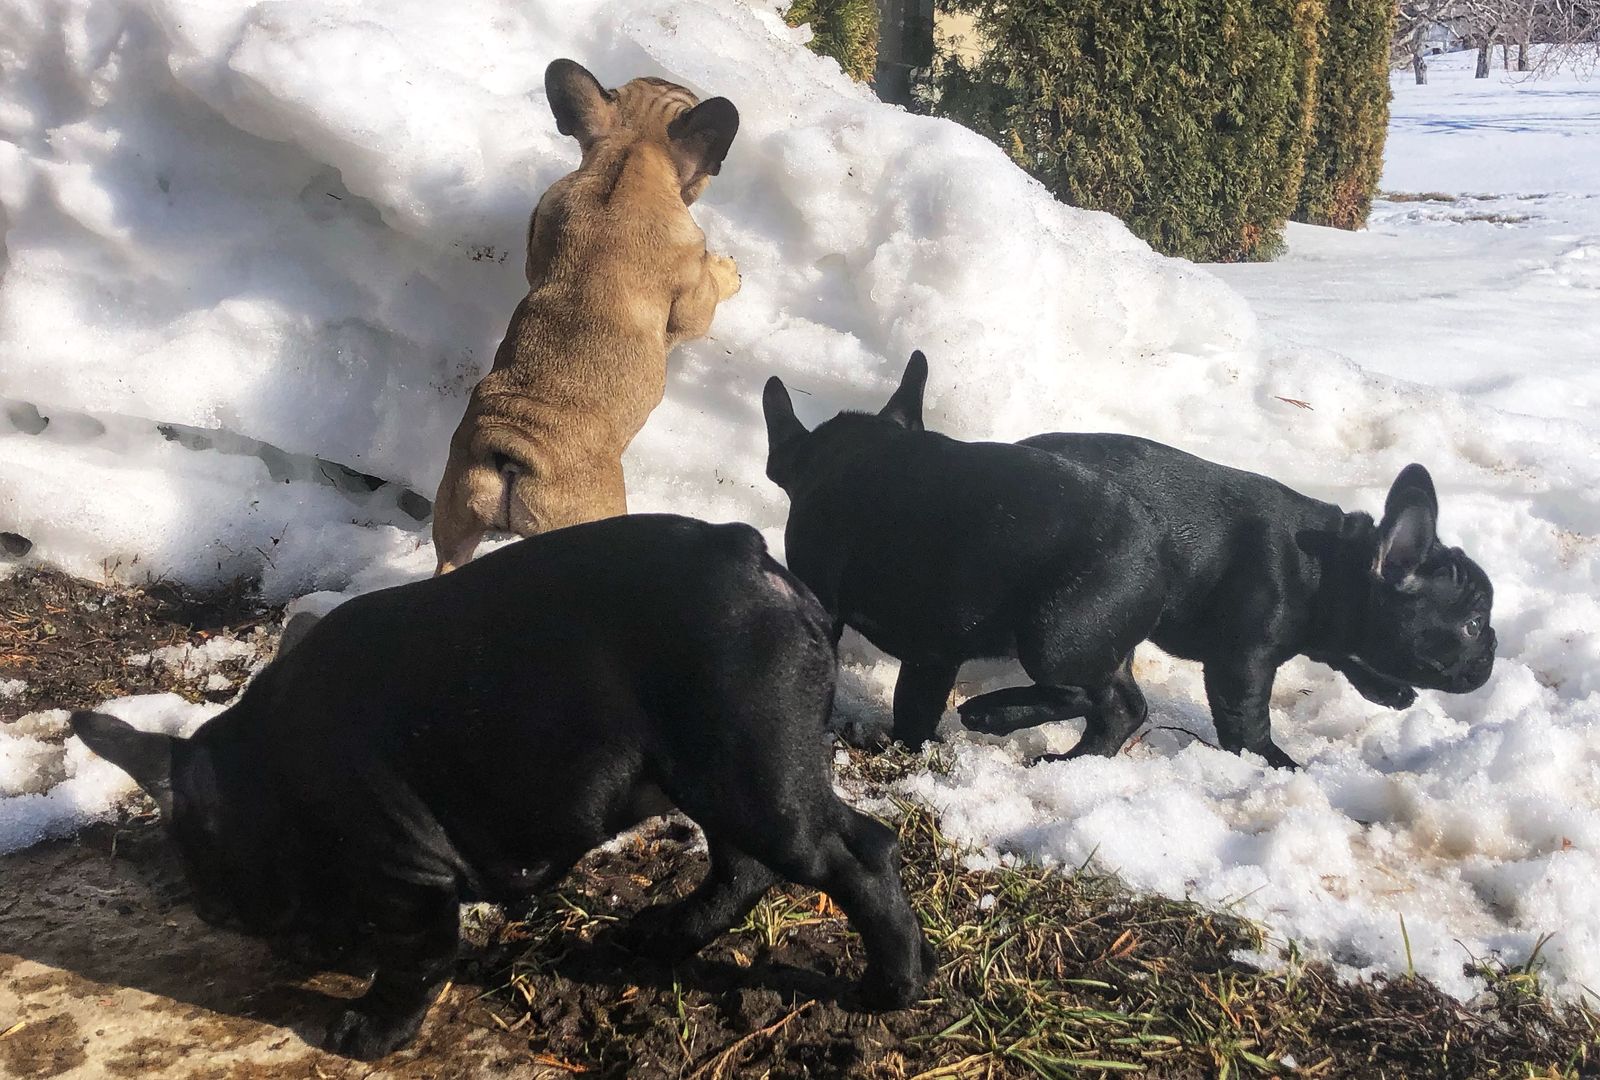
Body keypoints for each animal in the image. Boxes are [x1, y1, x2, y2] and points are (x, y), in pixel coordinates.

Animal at [73, 515, 932, 1060]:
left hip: (754, 775)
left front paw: (369, 1031)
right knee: (742, 866)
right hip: (716, 771)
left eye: (219, 912)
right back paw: (665, 933)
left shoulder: (406, 881)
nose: (295, 947)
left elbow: (413, 964)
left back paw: (893, 985)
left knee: (856, 856)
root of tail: (759, 564)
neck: (267, 780)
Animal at [431, 60, 742, 574]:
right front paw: (728, 272)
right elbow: (706, 300)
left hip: (457, 508)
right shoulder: (692, 295)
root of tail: (515, 451)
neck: (631, 158)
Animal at [762, 351, 1171, 760]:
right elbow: (916, 706)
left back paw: (992, 712)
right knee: (1122, 707)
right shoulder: (933, 655)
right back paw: (1073, 758)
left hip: (1055, 640)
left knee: (1088, 694)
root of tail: (1156, 559)